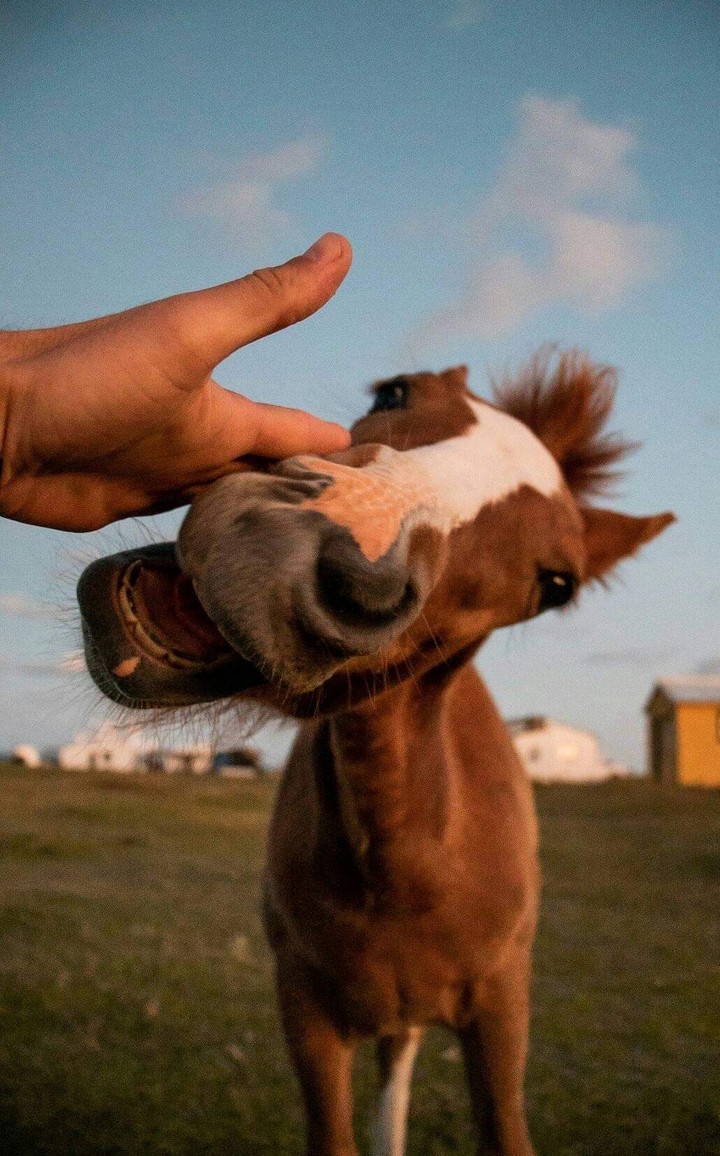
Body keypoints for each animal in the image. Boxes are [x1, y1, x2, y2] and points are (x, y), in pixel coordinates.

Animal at [78, 350, 673, 1156]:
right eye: (395, 392)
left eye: (557, 585)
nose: (291, 548)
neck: (403, 863)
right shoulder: (306, 1014)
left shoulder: (501, 1013)